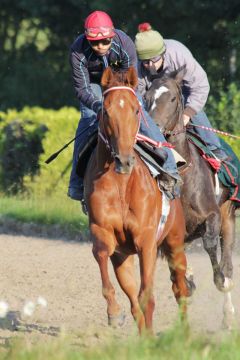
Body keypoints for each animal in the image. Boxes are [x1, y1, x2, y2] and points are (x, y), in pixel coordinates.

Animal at [84, 66, 189, 334]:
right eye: (106, 110)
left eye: (135, 109)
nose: (124, 160)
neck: (122, 186)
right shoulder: (102, 230)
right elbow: (101, 253)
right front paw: (113, 312)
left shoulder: (146, 240)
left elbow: (147, 296)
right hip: (124, 256)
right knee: (132, 297)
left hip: (175, 243)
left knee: (180, 289)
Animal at [144, 67, 236, 330]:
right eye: (147, 97)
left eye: (173, 98)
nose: (154, 129)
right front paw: (189, 280)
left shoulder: (212, 215)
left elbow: (211, 246)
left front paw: (219, 280)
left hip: (228, 216)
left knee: (227, 261)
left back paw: (228, 312)